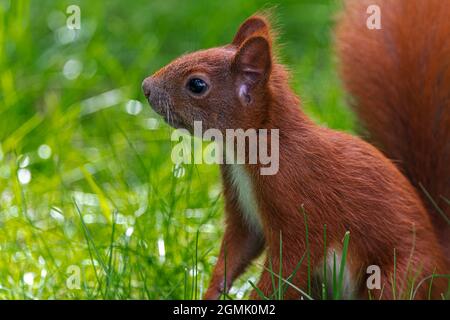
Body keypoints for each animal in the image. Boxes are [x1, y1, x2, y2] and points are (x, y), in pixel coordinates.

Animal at [142, 0, 448, 300]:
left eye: (197, 85)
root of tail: (442, 262)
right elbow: (236, 251)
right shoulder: (243, 212)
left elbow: (287, 271)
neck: (253, 148)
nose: (146, 87)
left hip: (397, 275)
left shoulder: (301, 210)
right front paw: (211, 293)